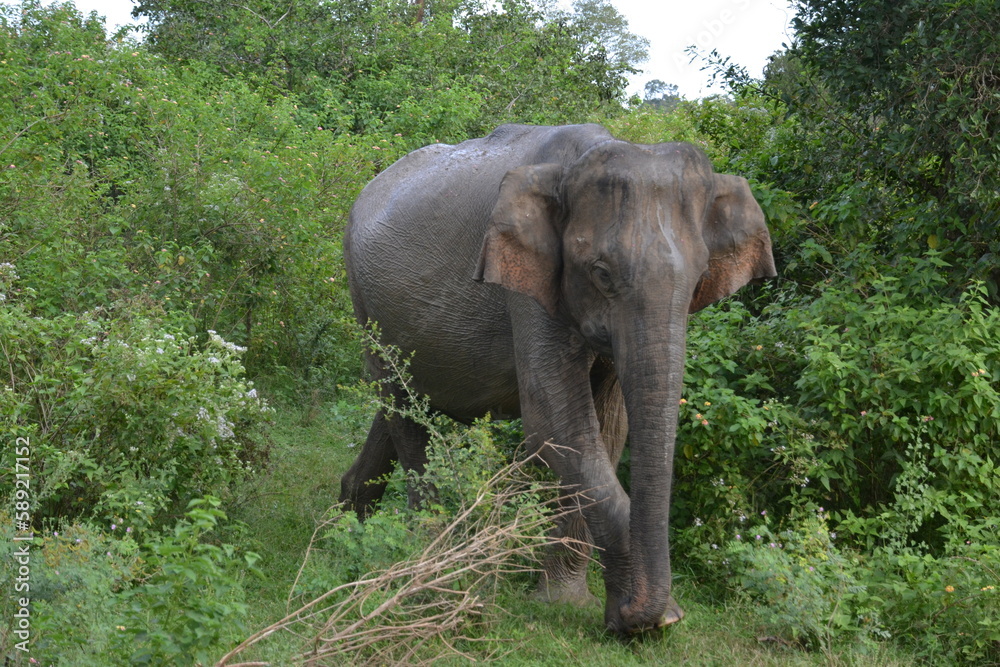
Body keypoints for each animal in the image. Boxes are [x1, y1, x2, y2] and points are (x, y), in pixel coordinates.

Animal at [340, 122, 776, 636]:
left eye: (699, 277)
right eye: (601, 274)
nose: (644, 615)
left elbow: (608, 427)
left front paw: (573, 601)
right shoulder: (527, 284)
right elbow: (557, 421)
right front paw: (644, 616)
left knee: (397, 406)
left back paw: (349, 520)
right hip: (363, 298)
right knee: (404, 411)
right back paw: (427, 557)